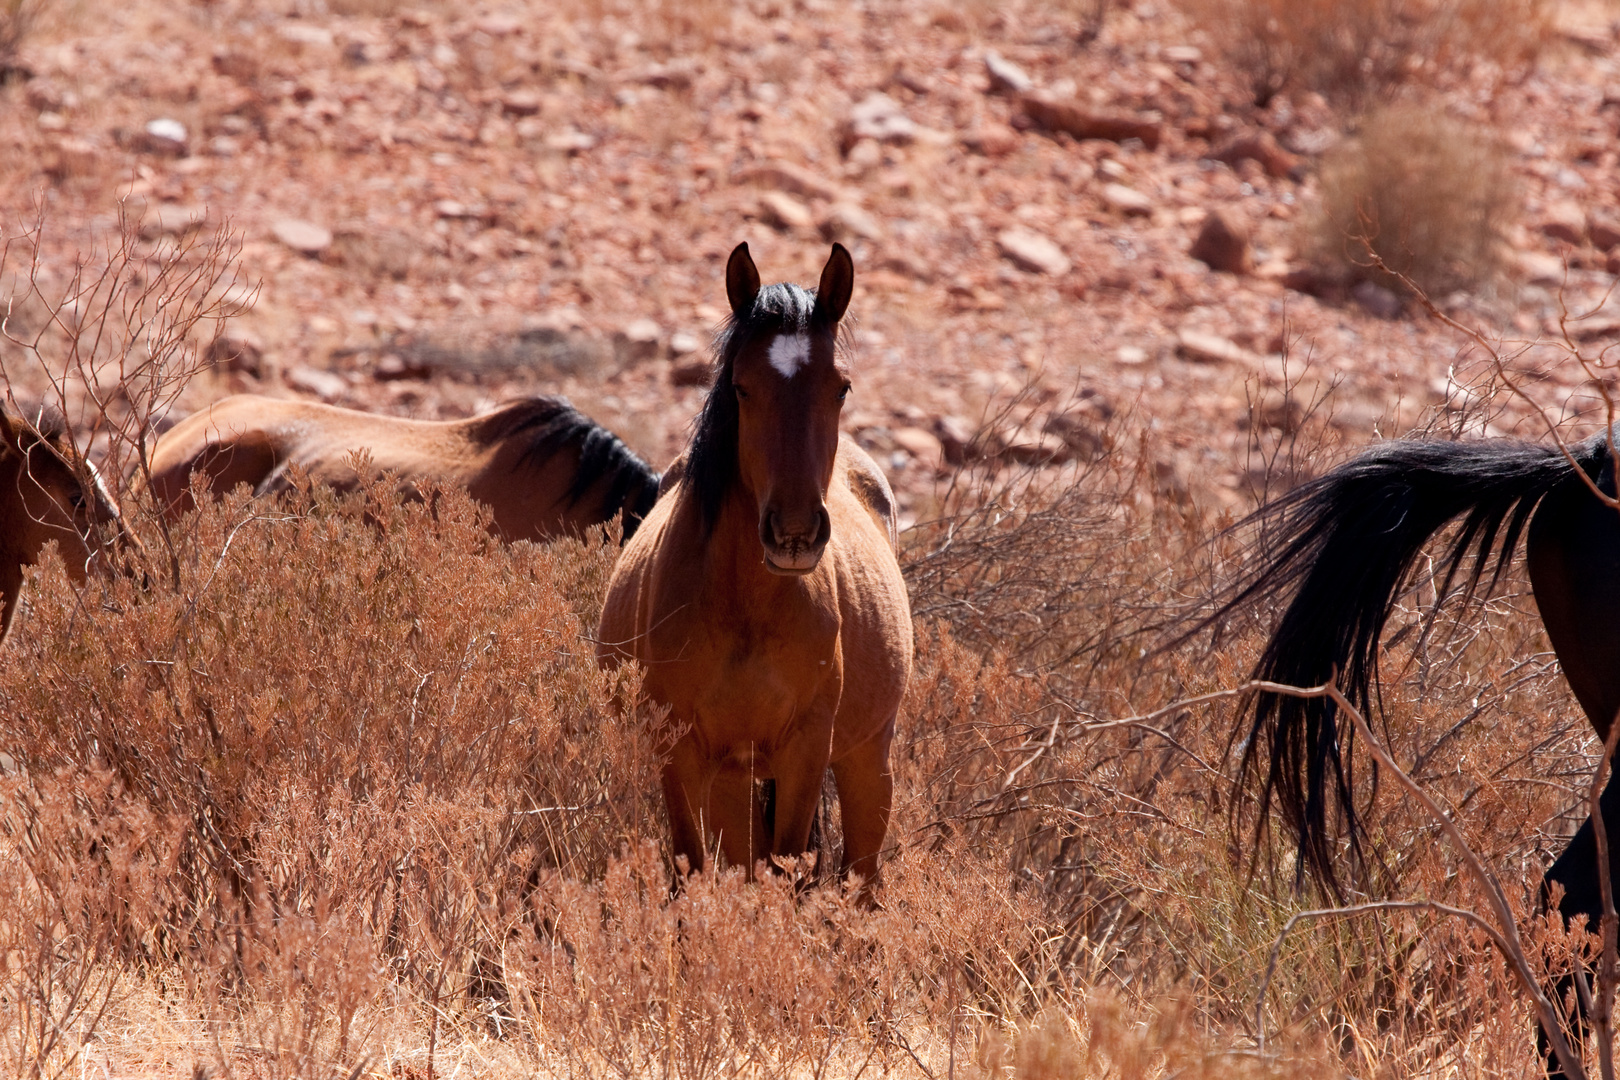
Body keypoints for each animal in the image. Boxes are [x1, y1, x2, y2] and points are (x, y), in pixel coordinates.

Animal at [602, 247, 920, 893]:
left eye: (841, 387)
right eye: (742, 387)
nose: (795, 532)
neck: (744, 606)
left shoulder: (805, 752)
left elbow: (788, 871)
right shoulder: (681, 754)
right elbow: (691, 872)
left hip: (866, 761)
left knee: (861, 879)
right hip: (733, 781)